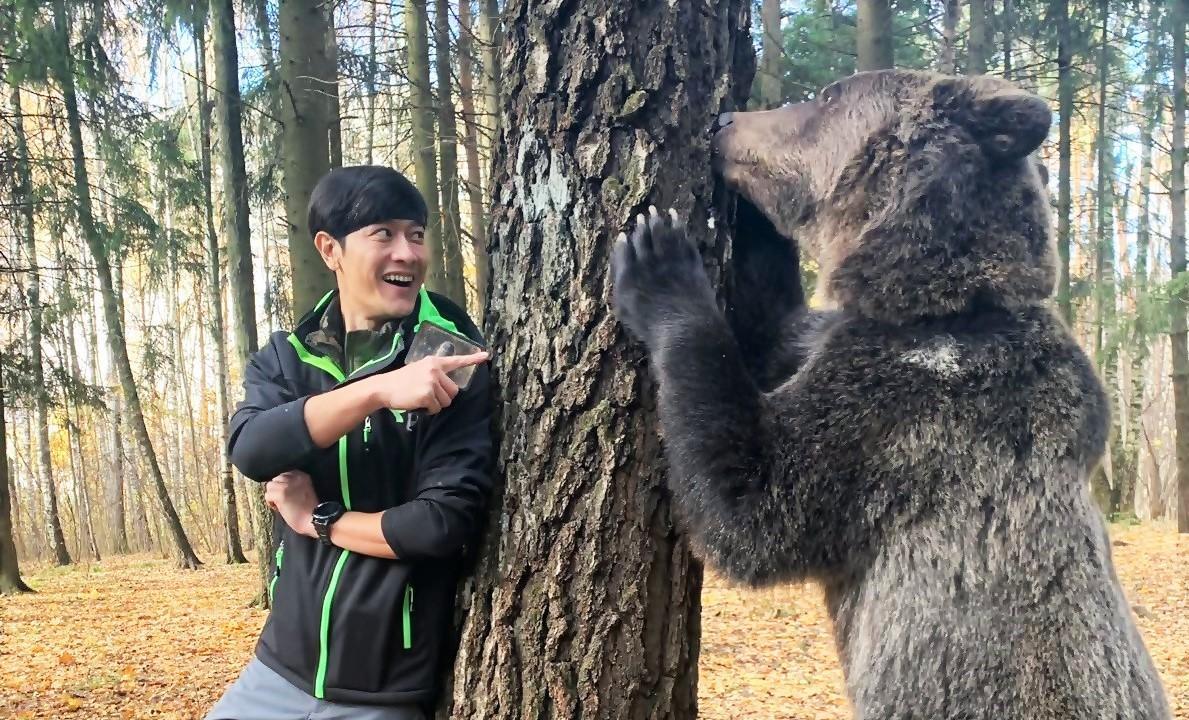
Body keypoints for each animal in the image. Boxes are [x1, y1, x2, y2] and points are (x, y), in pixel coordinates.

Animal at [610, 69, 1171, 719]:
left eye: (827, 98)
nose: (726, 120)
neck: (935, 306)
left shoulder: (900, 416)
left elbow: (753, 505)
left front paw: (659, 263)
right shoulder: (830, 345)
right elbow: (772, 333)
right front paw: (745, 223)